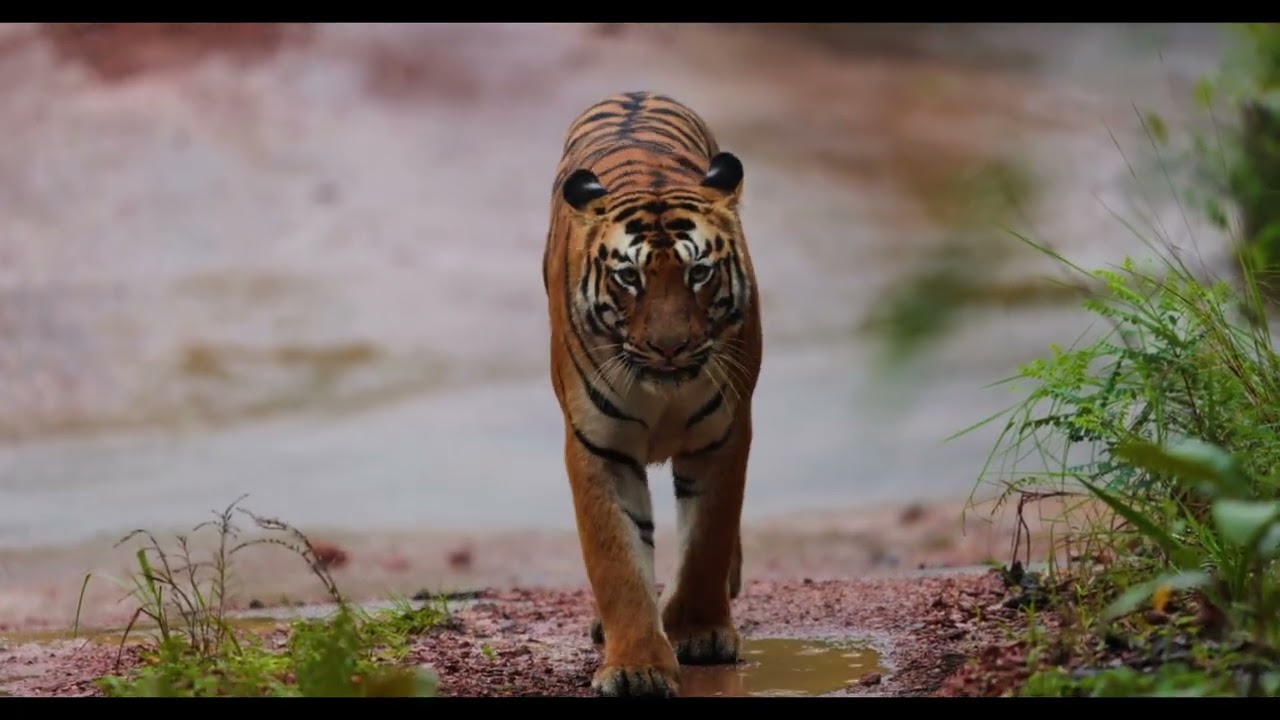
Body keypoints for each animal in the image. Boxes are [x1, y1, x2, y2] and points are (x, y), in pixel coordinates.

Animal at [540, 90, 763, 698]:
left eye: (699, 273)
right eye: (629, 278)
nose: (669, 347)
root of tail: (634, 91)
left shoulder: (723, 433)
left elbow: (708, 536)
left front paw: (699, 632)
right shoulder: (598, 446)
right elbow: (616, 559)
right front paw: (637, 666)